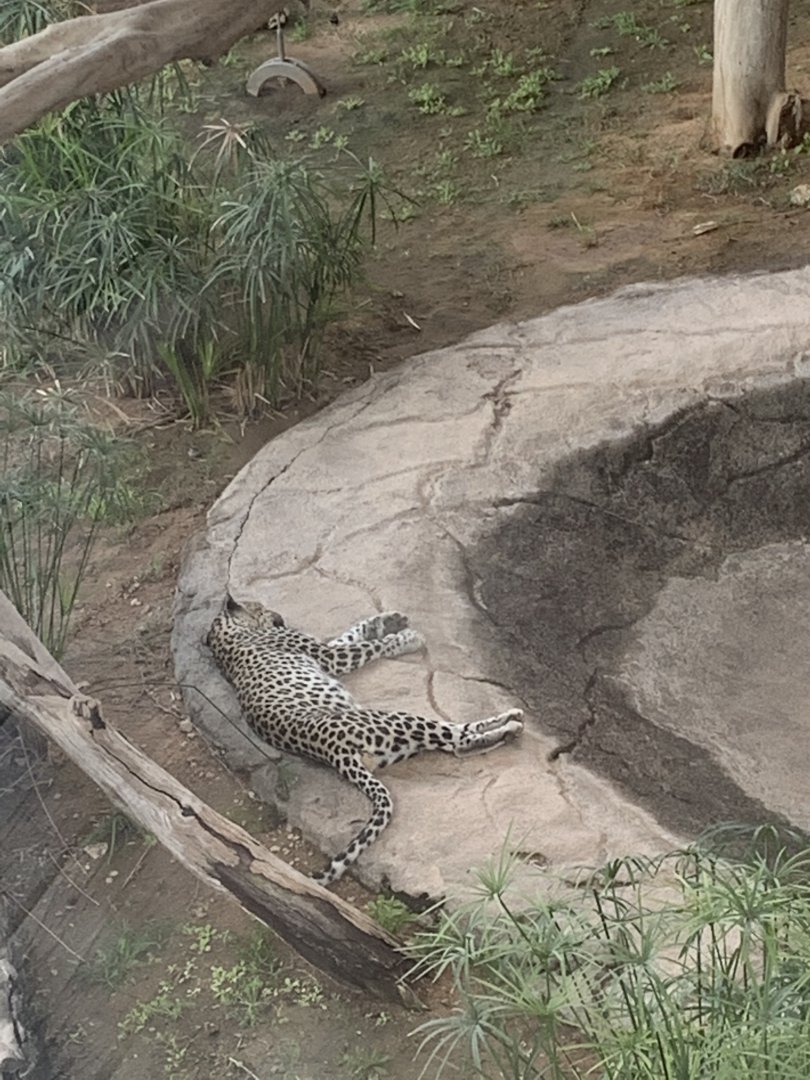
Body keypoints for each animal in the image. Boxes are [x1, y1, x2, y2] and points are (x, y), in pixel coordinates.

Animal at [206, 596, 524, 885]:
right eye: (260, 606)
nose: (279, 616)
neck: (225, 634)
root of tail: (335, 755)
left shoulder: (329, 651)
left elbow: (351, 633)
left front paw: (386, 621)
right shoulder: (329, 656)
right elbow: (371, 646)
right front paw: (406, 637)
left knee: (456, 744)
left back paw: (506, 728)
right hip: (397, 719)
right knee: (456, 739)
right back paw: (510, 722)